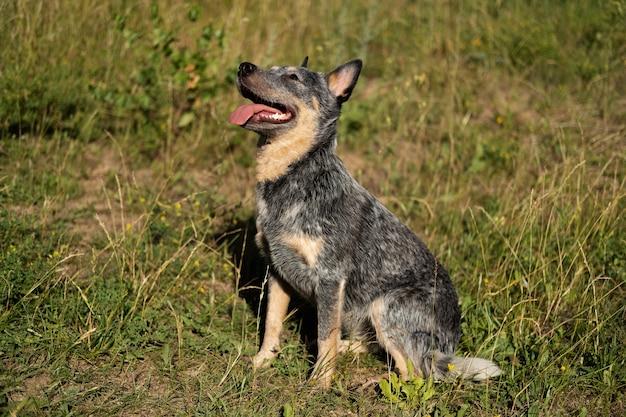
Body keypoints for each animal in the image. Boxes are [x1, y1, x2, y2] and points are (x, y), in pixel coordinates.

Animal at [227, 56, 500, 386]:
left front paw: (319, 383)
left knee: (415, 375)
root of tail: (449, 348)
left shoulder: (330, 278)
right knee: (373, 347)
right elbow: (271, 324)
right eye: (271, 67)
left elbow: (324, 337)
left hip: (386, 307)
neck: (293, 178)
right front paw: (262, 361)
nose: (244, 66)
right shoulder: (279, 270)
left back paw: (374, 383)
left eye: (293, 77)